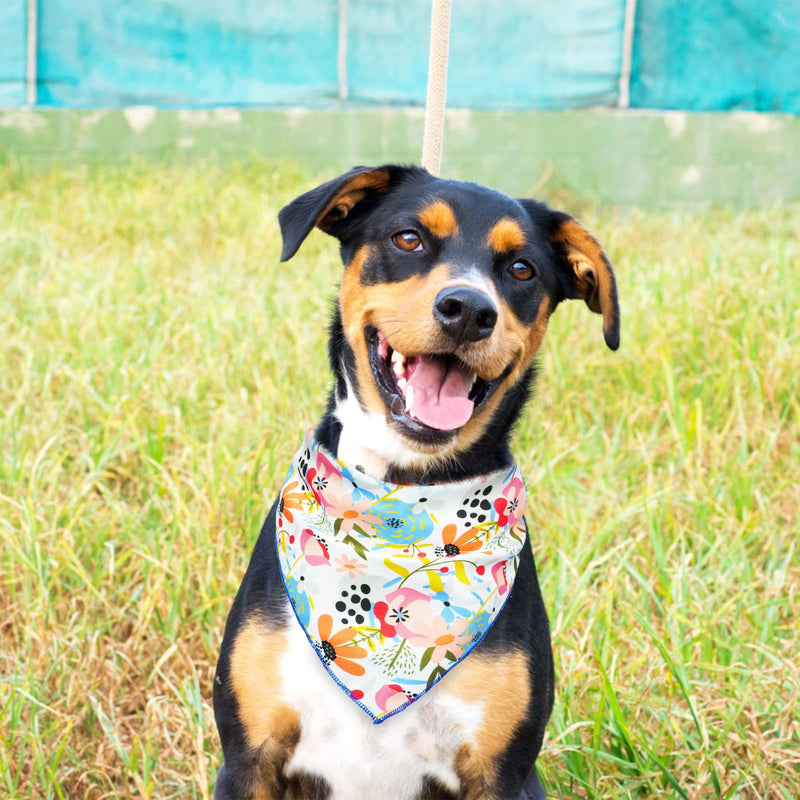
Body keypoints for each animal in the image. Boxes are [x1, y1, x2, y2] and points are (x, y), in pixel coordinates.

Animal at [212, 164, 620, 800]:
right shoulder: (248, 757)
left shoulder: (503, 774)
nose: (469, 309)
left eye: (521, 269)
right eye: (409, 239)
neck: (402, 494)